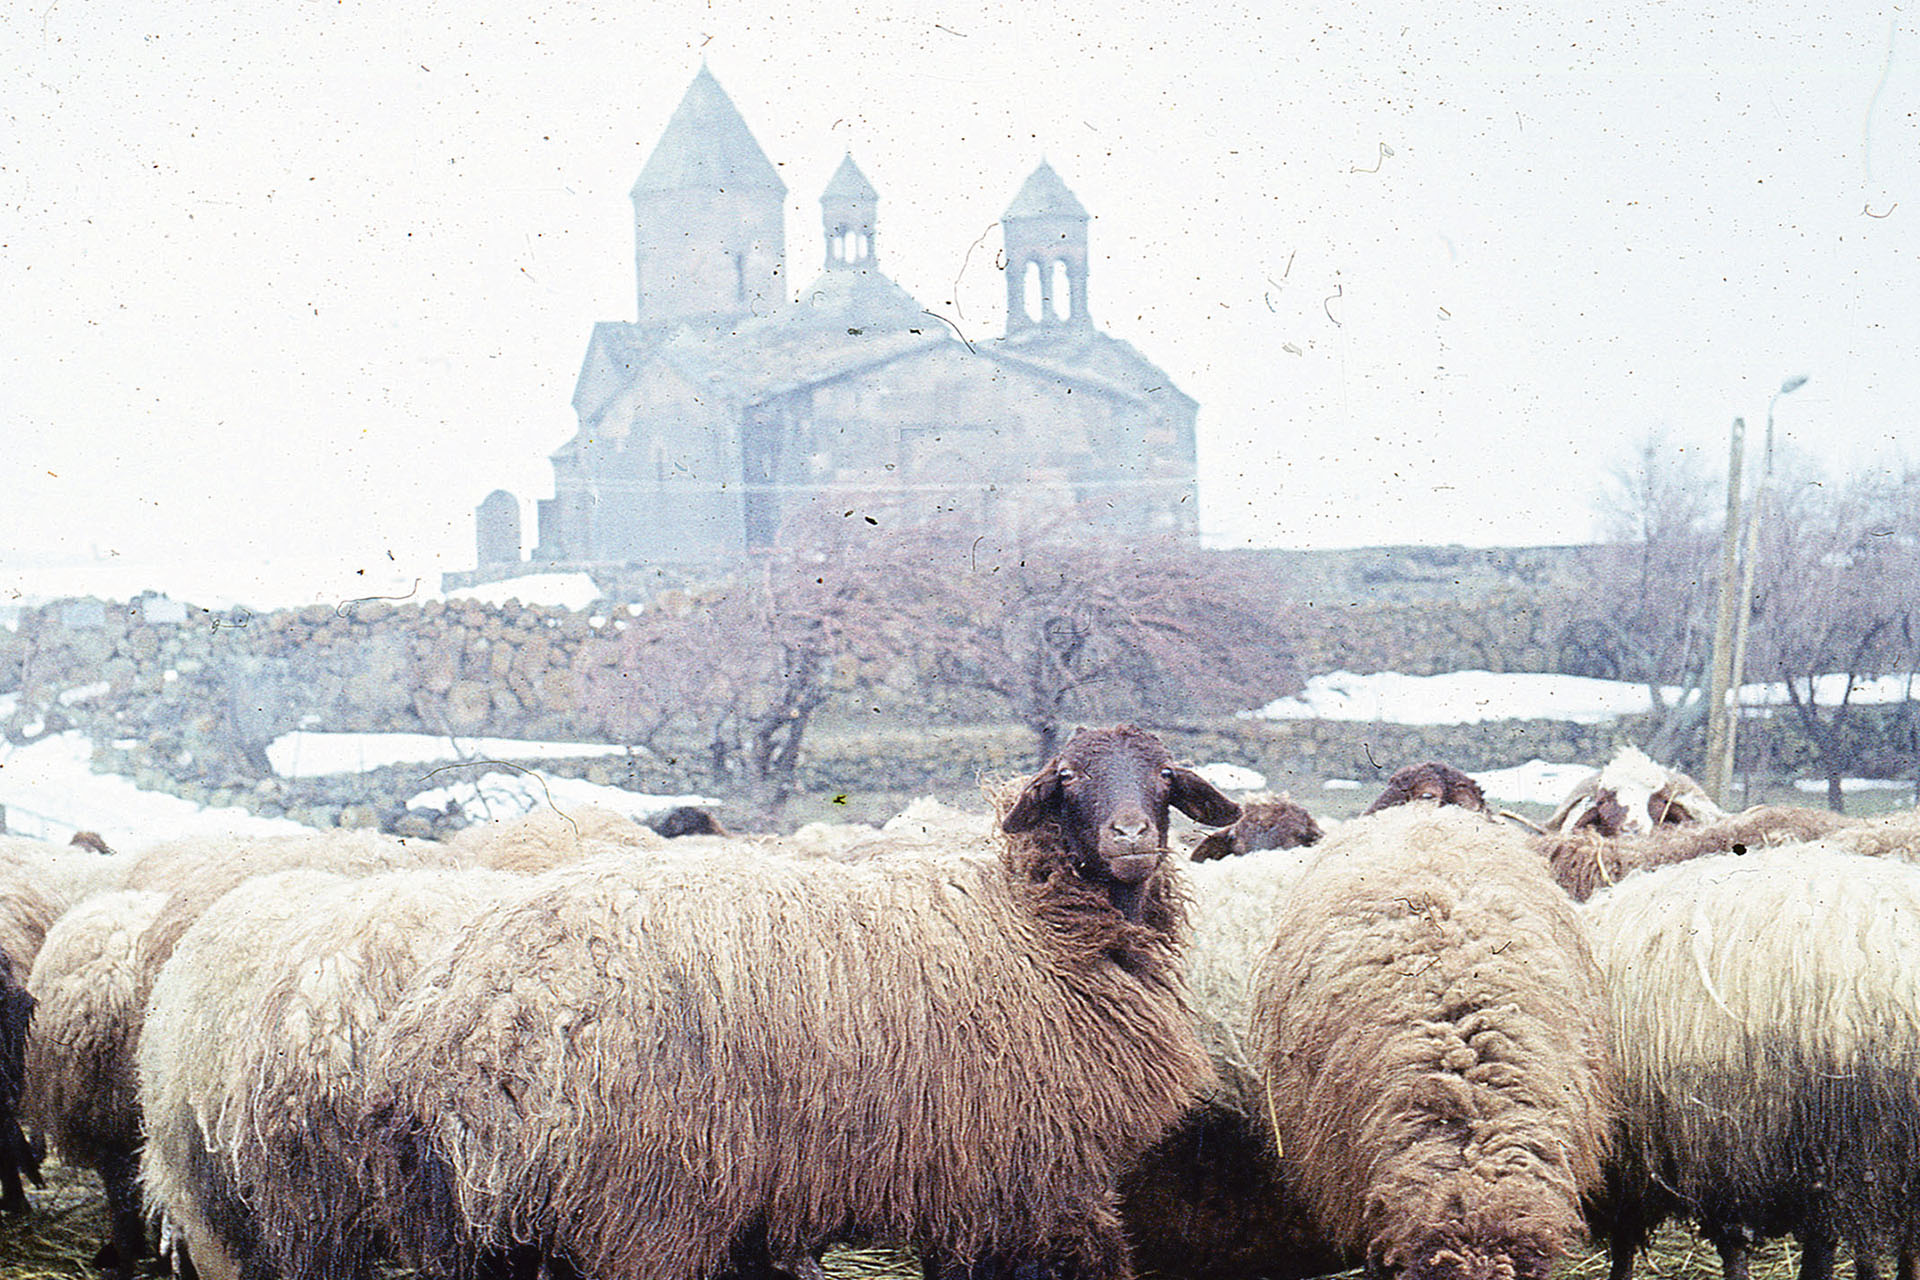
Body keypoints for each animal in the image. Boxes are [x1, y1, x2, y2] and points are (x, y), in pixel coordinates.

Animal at [360, 725, 1236, 1280]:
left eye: (1165, 776)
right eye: (1068, 780)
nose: (1130, 837)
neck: (1034, 919)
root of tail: (461, 1017)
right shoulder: (1002, 1174)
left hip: (499, 1228)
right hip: (644, 1198)